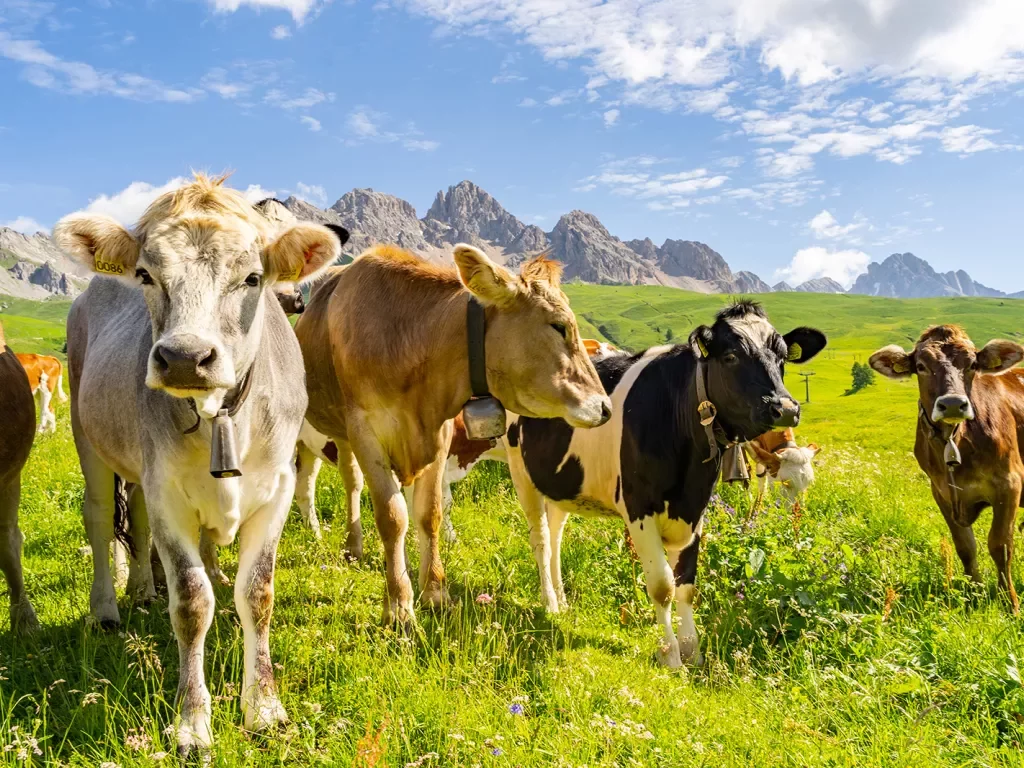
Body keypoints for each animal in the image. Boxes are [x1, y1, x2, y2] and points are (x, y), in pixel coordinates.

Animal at [55, 173, 344, 753]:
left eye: (253, 277)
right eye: (146, 274)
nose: (185, 357)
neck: (220, 417)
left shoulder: (276, 490)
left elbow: (256, 593)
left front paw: (265, 709)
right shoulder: (169, 496)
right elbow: (192, 602)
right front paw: (192, 722)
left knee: (136, 520)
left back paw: (143, 589)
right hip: (86, 436)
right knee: (99, 517)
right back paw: (107, 608)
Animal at [292, 243, 610, 626]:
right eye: (559, 326)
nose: (605, 407)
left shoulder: (438, 434)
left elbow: (429, 514)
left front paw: (435, 593)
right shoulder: (366, 431)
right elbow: (392, 516)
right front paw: (399, 604)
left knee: (354, 482)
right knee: (326, 483)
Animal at [503, 303, 823, 671]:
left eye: (782, 357)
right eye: (731, 356)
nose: (785, 408)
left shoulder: (694, 509)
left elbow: (687, 586)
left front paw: (692, 650)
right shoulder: (639, 508)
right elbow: (662, 586)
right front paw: (670, 655)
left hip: (562, 481)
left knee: (555, 534)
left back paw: (563, 599)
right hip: (521, 471)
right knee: (541, 540)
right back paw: (550, 603)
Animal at [868, 325, 1024, 614]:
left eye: (973, 364)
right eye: (921, 366)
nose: (952, 403)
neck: (955, 439)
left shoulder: (1009, 484)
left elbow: (1000, 545)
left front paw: (1010, 603)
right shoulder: (941, 492)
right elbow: (965, 547)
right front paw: (974, 594)